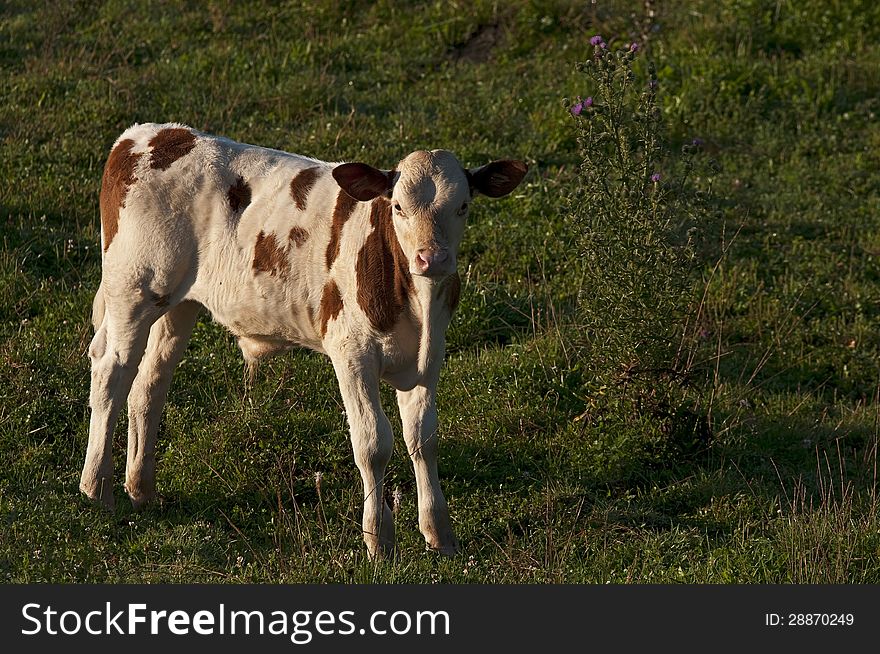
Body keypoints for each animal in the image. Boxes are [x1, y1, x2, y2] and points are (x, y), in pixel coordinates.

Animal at [81, 123, 524, 560]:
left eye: (463, 206)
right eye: (398, 207)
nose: (431, 258)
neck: (417, 306)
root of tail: (150, 134)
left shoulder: (429, 358)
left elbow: (423, 440)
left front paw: (438, 533)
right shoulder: (351, 353)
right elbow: (373, 443)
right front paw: (378, 539)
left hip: (177, 305)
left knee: (148, 385)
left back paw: (141, 489)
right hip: (132, 290)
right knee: (111, 374)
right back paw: (96, 489)